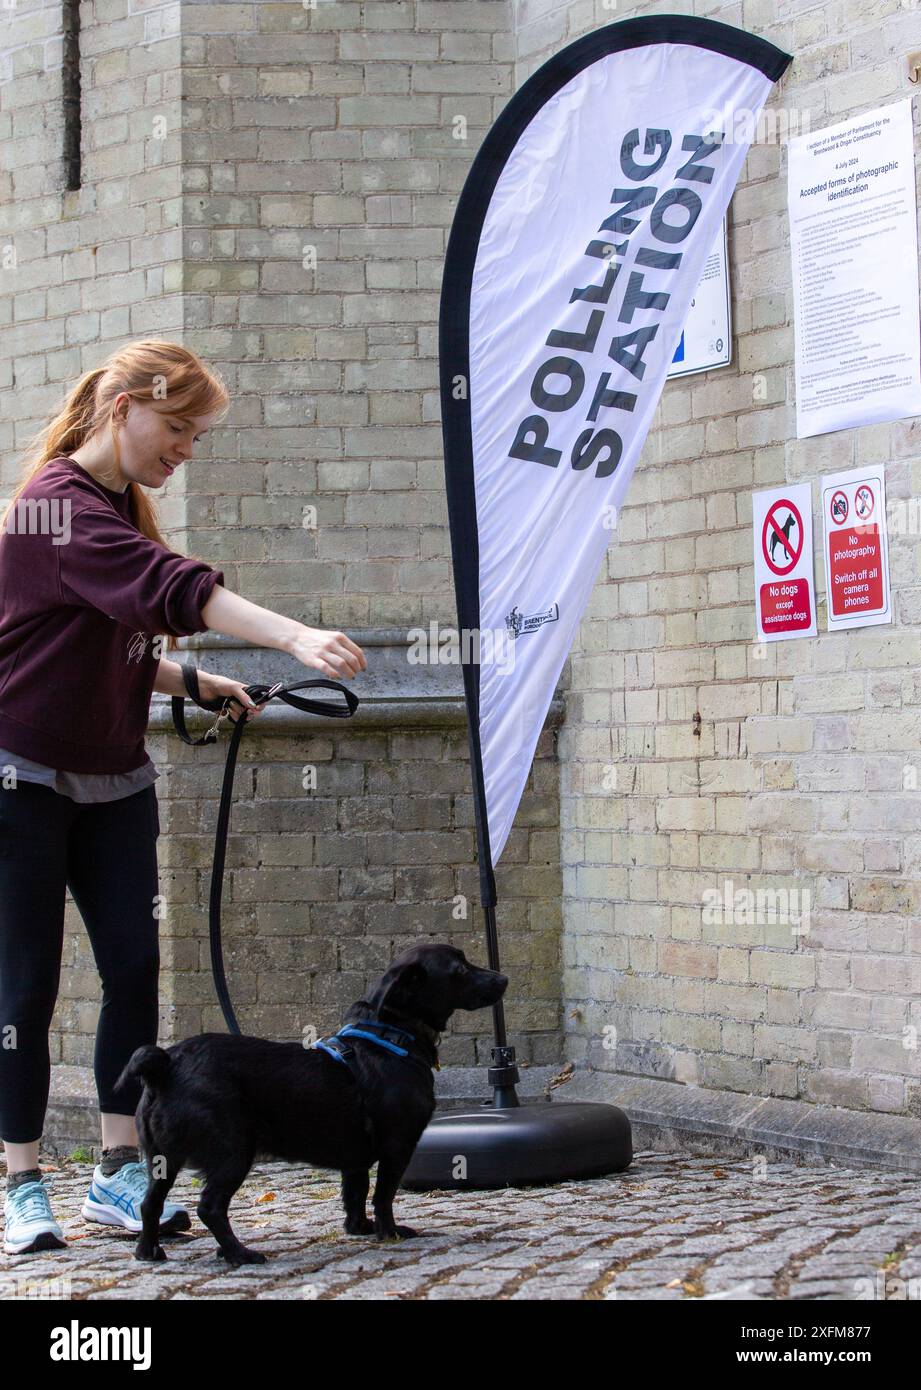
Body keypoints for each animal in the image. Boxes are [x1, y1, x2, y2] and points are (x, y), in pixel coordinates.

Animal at [115, 945, 508, 1262]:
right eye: (460, 969)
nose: (503, 978)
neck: (393, 1035)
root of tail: (167, 1063)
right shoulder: (397, 1146)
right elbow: (383, 1195)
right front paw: (390, 1232)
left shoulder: (355, 1159)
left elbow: (355, 1194)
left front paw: (359, 1228)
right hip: (233, 1153)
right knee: (210, 1207)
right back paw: (239, 1254)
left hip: (162, 1161)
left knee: (150, 1203)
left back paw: (149, 1251)